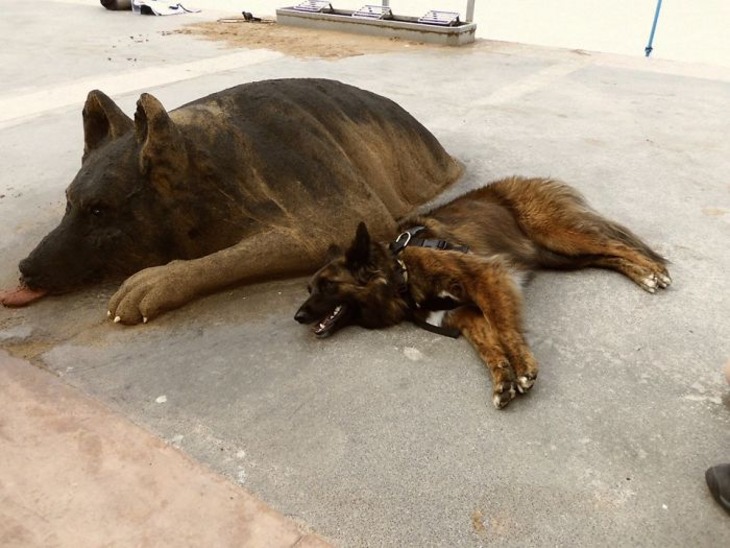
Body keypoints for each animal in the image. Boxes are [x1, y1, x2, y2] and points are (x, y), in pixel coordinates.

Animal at [292, 176, 668, 406]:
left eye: (327, 286)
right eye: (310, 288)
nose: (297, 316)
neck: (399, 272)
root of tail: (528, 180)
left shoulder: (486, 275)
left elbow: (503, 328)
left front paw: (523, 365)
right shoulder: (463, 312)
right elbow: (488, 346)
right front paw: (504, 379)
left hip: (557, 236)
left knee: (615, 244)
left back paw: (653, 270)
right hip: (557, 256)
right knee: (605, 256)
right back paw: (643, 274)